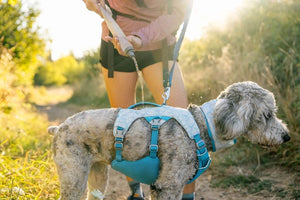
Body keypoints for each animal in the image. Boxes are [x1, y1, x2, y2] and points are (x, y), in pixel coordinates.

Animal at [48, 81, 290, 200]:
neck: (201, 125)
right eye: (267, 115)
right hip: (74, 177)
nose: (286, 136)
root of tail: (58, 127)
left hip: (97, 176)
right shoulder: (167, 185)